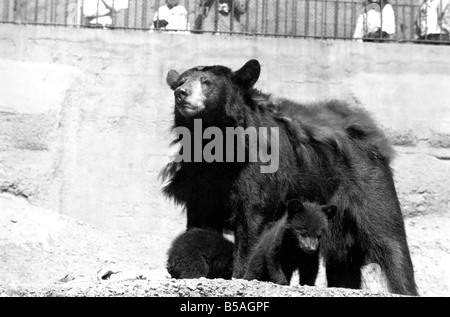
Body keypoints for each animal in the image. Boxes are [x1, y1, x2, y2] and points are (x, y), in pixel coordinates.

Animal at [162, 58, 418, 294]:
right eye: (182, 81)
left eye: (207, 82)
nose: (180, 93)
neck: (216, 144)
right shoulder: (197, 176)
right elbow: (200, 220)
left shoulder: (259, 170)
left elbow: (253, 218)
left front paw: (242, 274)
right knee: (343, 260)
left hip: (370, 187)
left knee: (391, 242)